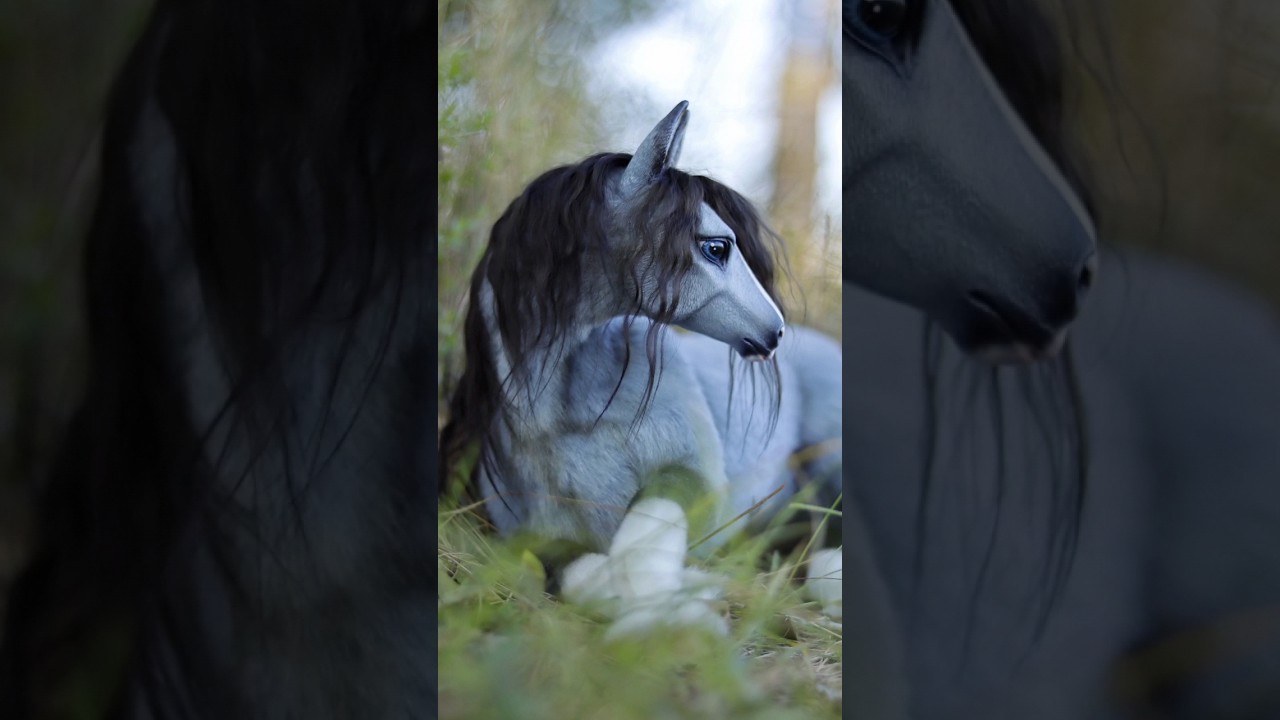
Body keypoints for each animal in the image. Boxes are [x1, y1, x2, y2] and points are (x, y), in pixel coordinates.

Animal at [437, 101, 846, 637]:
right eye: (716, 247)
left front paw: (679, 621)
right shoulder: (544, 544)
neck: (554, 418)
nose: (774, 332)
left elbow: (643, 545)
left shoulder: (687, 479)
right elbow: (586, 576)